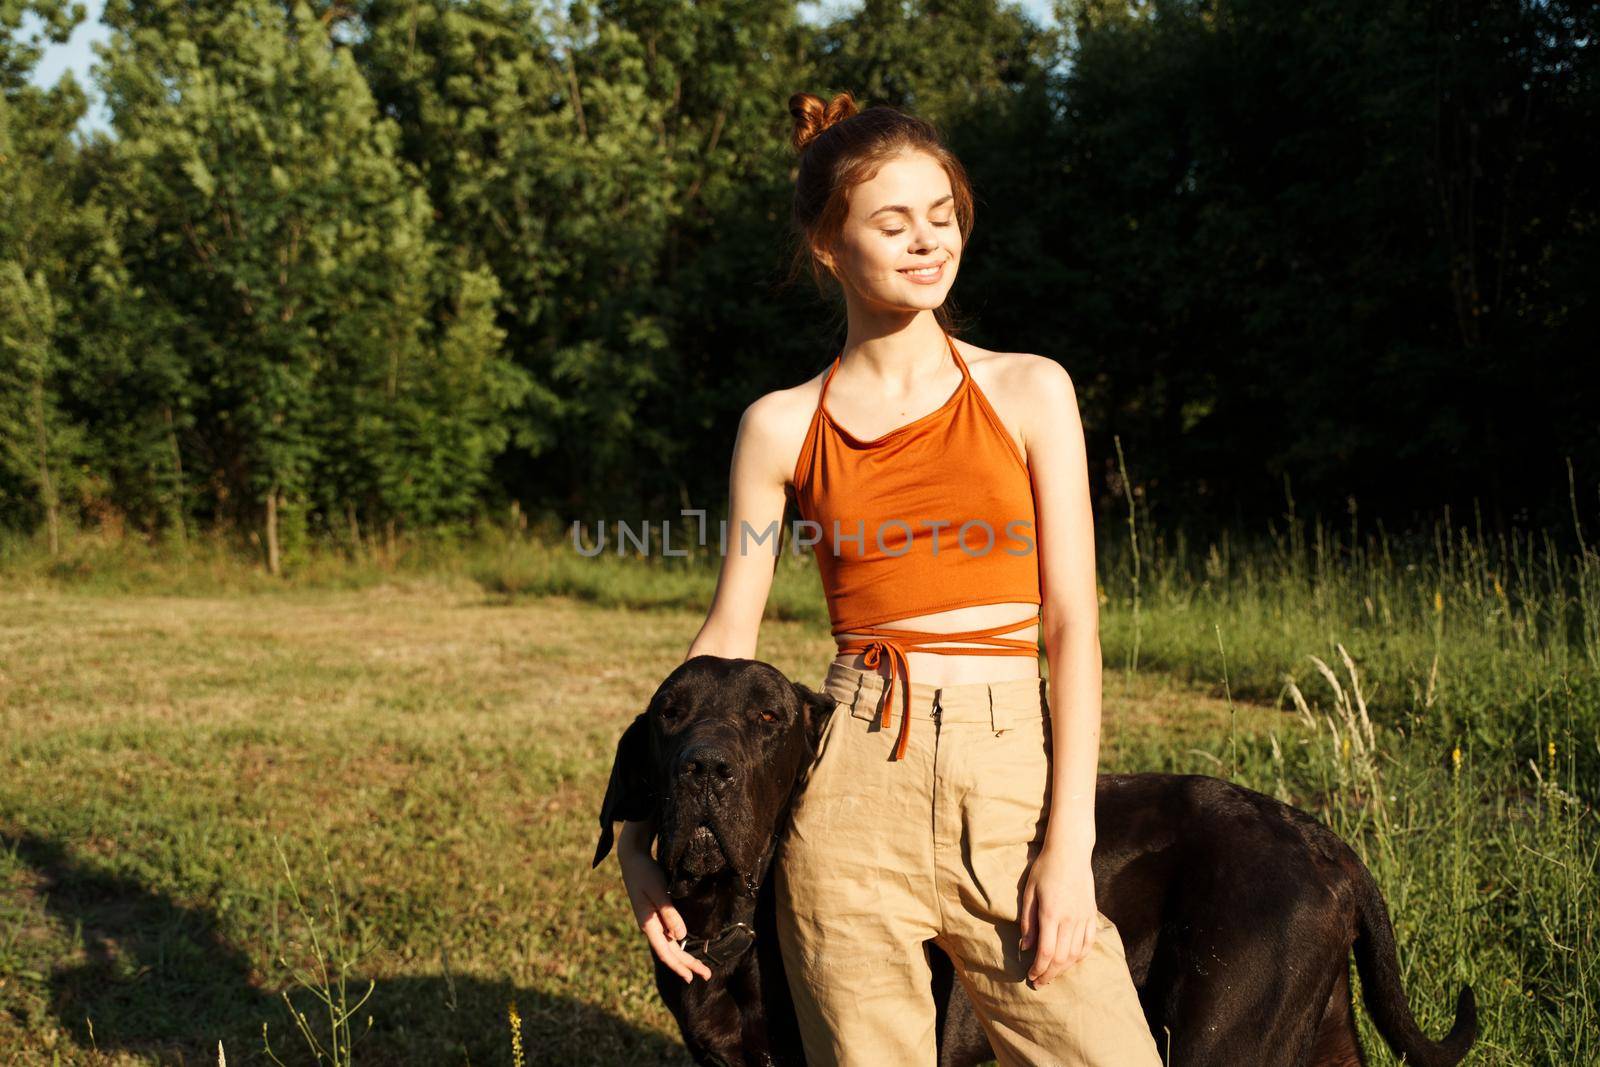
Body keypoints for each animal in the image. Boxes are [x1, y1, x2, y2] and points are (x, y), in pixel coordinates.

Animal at [595, 655, 1478, 1067]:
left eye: (770, 718)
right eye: (670, 712)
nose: (704, 767)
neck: (729, 918)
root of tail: (1324, 838)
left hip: (1220, 1030)